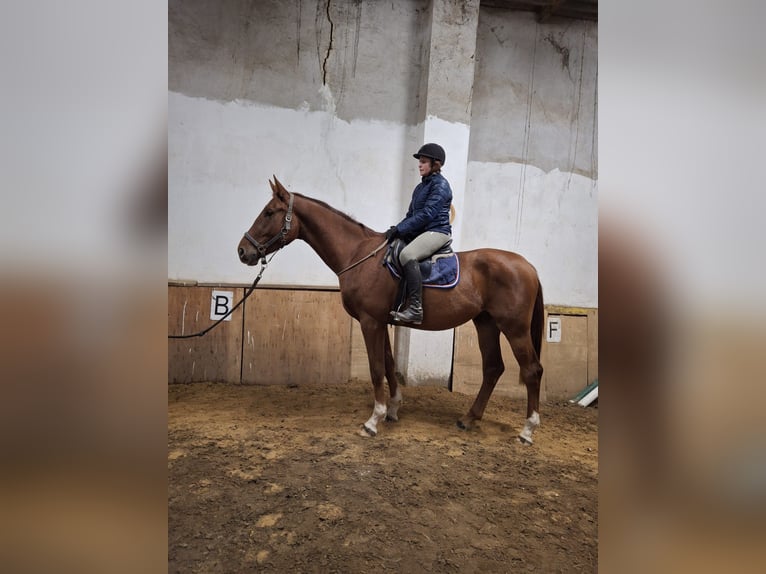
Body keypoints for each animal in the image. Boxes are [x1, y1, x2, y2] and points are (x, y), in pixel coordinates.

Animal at [237, 177, 545, 444]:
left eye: (269, 213)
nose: (242, 251)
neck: (358, 254)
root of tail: (528, 266)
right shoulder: (382, 322)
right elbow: (388, 362)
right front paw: (393, 409)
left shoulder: (370, 321)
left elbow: (376, 368)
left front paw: (373, 420)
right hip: (486, 324)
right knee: (493, 367)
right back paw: (469, 418)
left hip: (514, 328)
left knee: (531, 370)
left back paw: (527, 430)